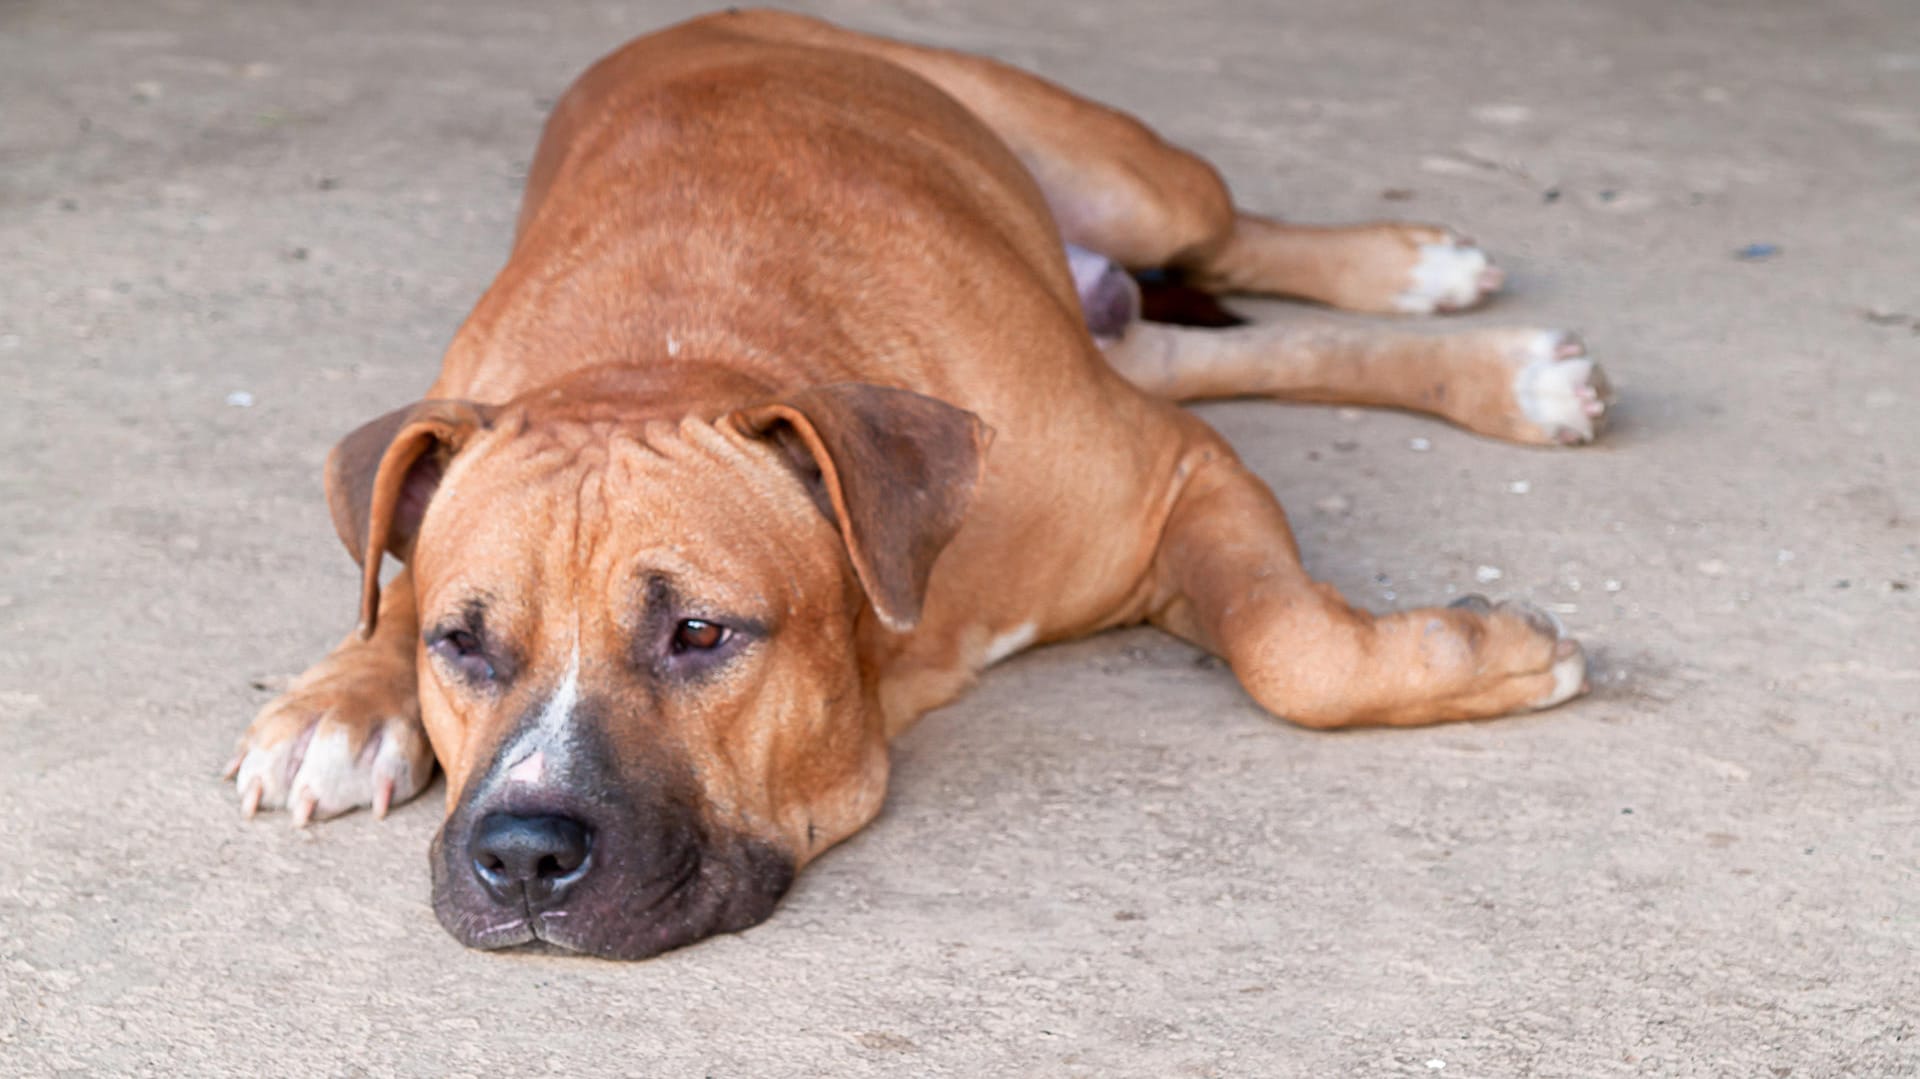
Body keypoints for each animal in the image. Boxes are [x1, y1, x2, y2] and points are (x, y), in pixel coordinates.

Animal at [224, 4, 1605, 952]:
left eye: (698, 632)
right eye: (462, 644)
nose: (520, 854)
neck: (667, 351)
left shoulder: (1175, 469)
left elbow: (1287, 646)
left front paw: (1491, 654)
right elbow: (386, 572)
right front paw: (346, 696)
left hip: (1134, 180)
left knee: (1238, 240)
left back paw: (1427, 280)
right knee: (1209, 346)